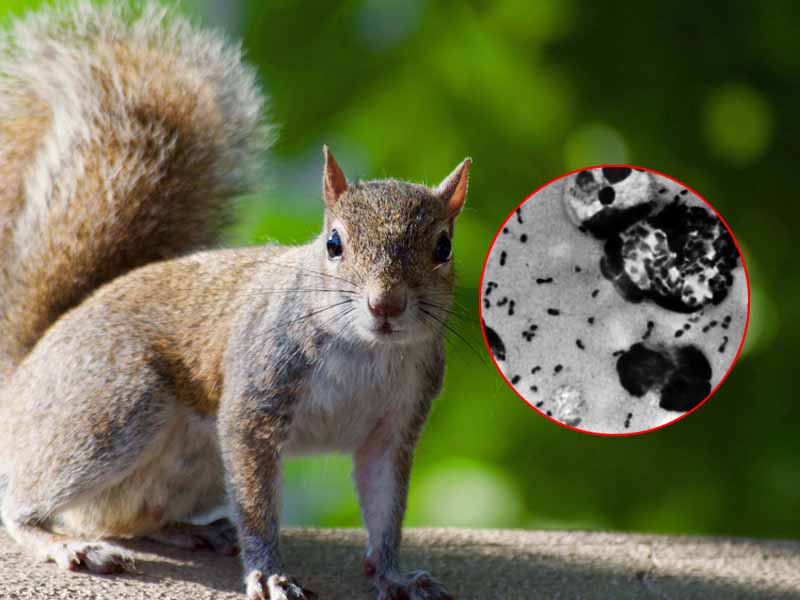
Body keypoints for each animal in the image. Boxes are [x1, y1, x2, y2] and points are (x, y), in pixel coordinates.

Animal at [0, 3, 469, 600]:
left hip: (188, 467)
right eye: (333, 243)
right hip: (112, 407)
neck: (366, 351)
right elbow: (257, 502)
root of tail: (23, 376)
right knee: (24, 504)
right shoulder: (257, 397)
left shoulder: (394, 426)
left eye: (444, 246)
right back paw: (64, 544)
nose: (385, 305)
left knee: (126, 516)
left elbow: (385, 508)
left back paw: (192, 530)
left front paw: (393, 574)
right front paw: (268, 571)